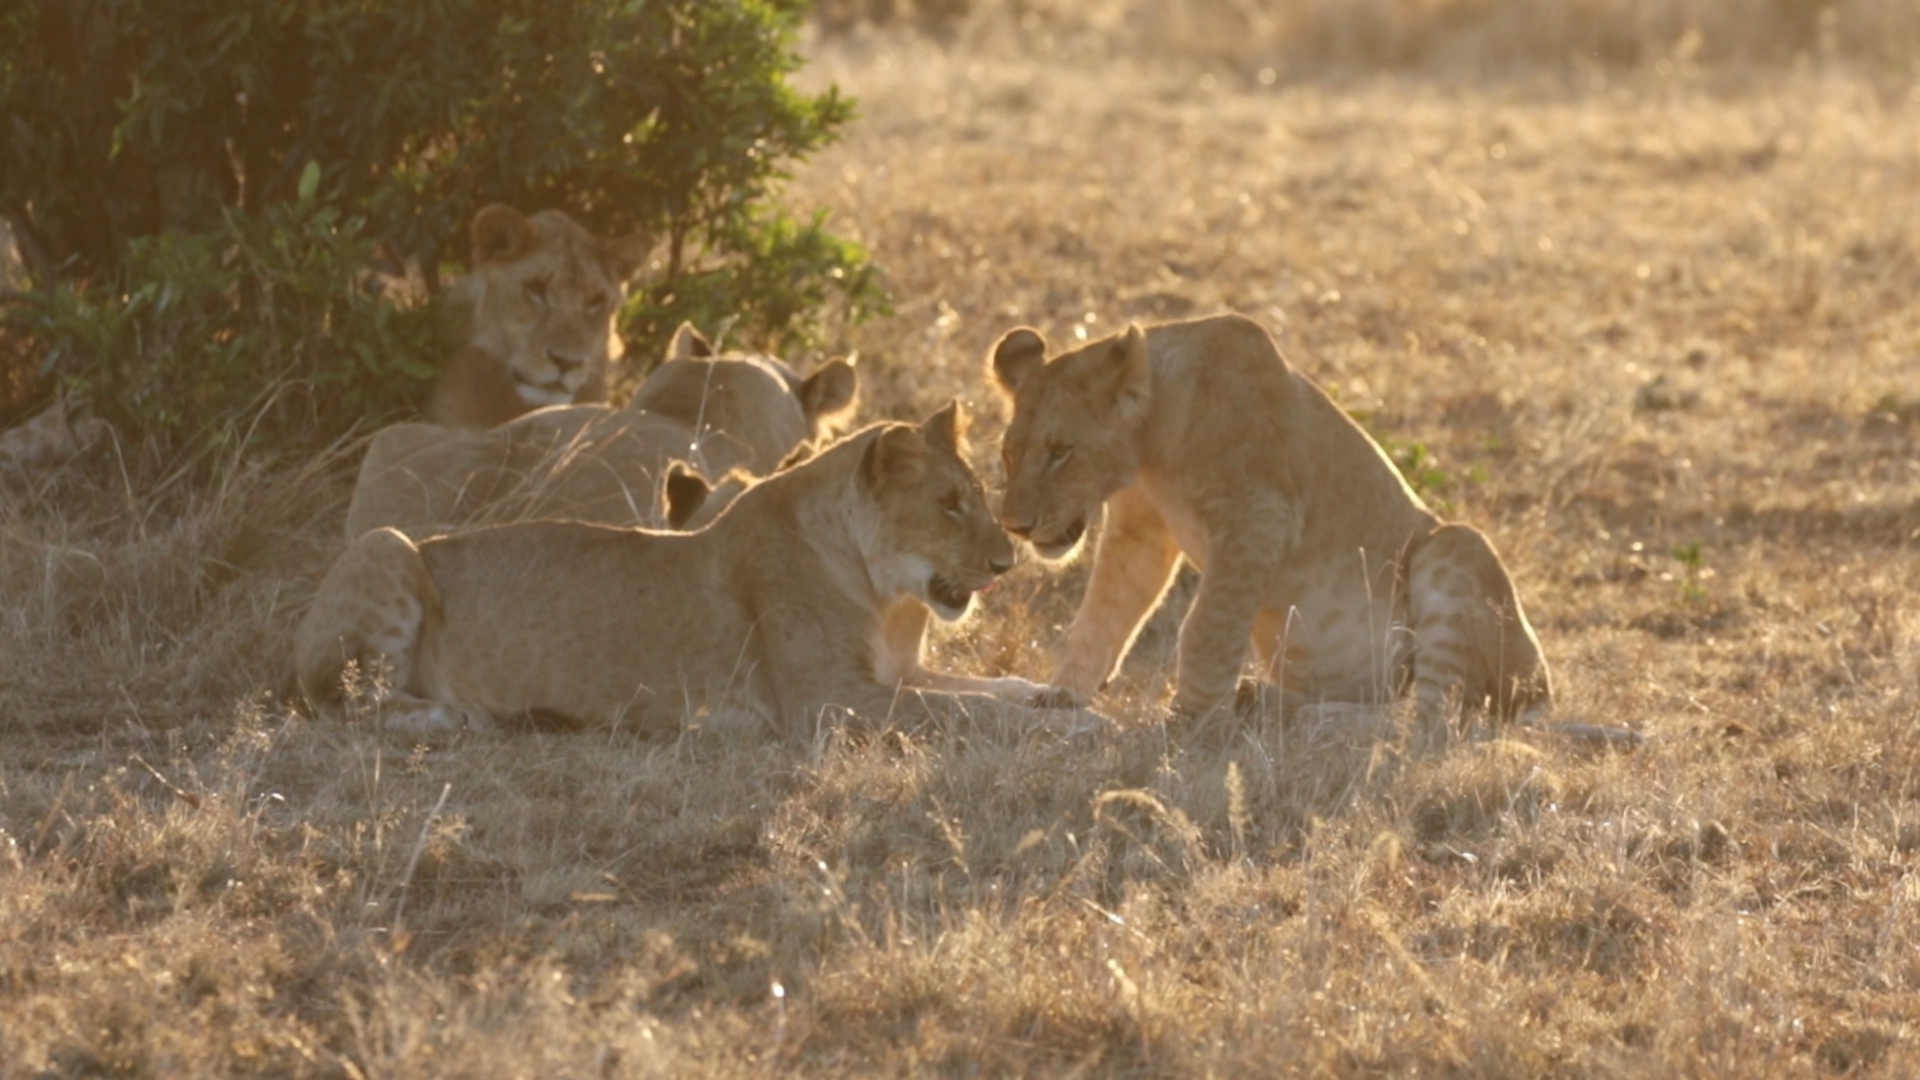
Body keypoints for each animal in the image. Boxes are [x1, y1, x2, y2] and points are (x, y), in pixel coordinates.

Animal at [295, 403, 1067, 737]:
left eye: (979, 495)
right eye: (948, 505)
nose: (1008, 560)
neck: (893, 600)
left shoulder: (895, 674)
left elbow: (992, 688)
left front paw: (1056, 697)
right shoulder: (829, 701)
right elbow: (965, 711)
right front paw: (1082, 730)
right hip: (388, 544)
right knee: (344, 697)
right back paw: (466, 715)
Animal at [983, 315, 1551, 726]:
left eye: (1061, 452)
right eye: (1009, 454)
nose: (1015, 525)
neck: (1149, 449)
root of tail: (1546, 691)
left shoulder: (1258, 517)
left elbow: (1207, 626)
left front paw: (1187, 723)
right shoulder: (1138, 531)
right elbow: (1102, 615)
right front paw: (1062, 695)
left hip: (1456, 546)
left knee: (1433, 720)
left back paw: (1314, 720)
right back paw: (1262, 700)